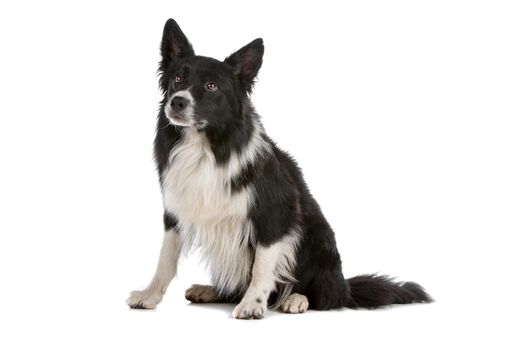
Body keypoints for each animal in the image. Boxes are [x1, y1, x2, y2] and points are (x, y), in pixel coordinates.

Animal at [126, 19, 430, 320]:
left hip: (319, 239)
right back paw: (211, 290)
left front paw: (252, 304)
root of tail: (345, 287)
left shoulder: (276, 211)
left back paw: (296, 299)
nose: (177, 101)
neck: (205, 144)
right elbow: (165, 258)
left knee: (325, 295)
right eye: (177, 79)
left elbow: (262, 266)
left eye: (212, 86)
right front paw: (149, 295)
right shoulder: (176, 208)